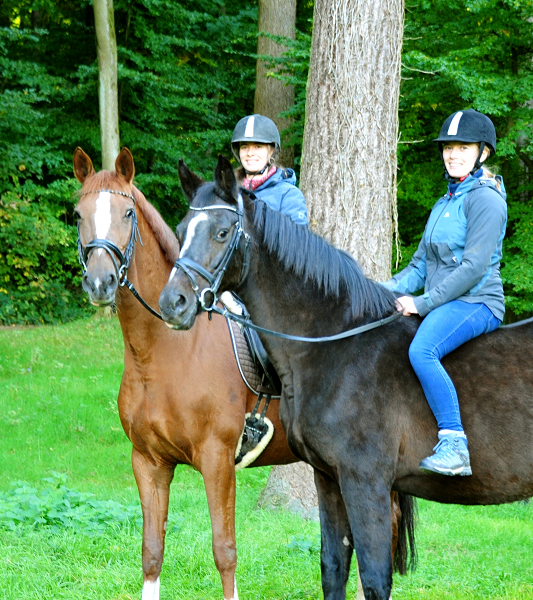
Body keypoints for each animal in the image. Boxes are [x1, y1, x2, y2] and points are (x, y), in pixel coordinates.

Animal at [71, 146, 412, 600]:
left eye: (127, 213)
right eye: (78, 214)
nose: (100, 282)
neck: (163, 354)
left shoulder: (217, 459)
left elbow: (224, 550)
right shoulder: (148, 462)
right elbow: (151, 552)